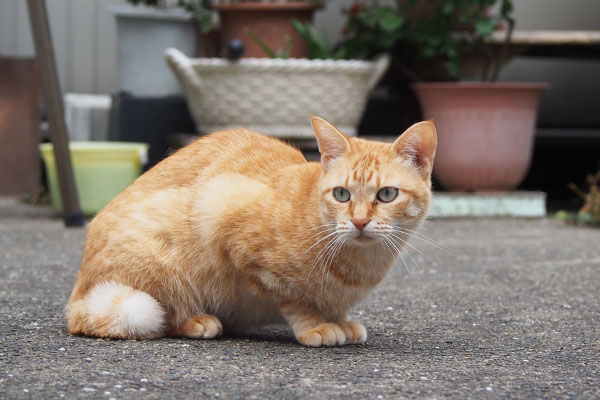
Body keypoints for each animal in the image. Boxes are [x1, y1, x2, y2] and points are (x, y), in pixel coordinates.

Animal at [67, 116, 436, 346]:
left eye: (386, 195)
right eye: (342, 194)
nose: (359, 221)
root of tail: (76, 295)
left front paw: (340, 319)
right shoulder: (224, 213)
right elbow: (295, 300)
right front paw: (316, 325)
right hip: (158, 268)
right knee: (158, 315)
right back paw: (196, 321)